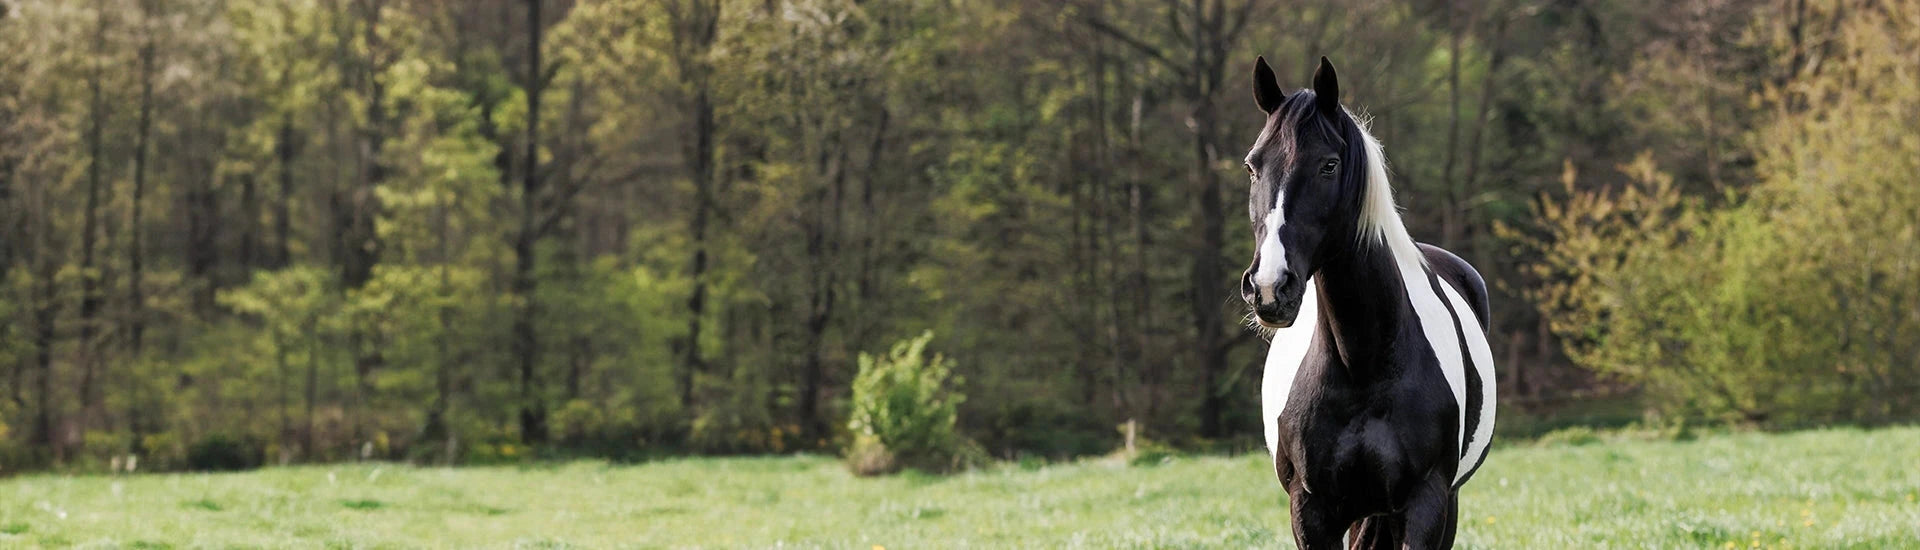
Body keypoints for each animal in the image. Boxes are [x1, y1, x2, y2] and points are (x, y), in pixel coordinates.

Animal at [1238, 56, 1497, 549]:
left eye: (1329, 165)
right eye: (1251, 166)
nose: (1269, 287)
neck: (1361, 362)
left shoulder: (1426, 502)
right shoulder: (1311, 509)